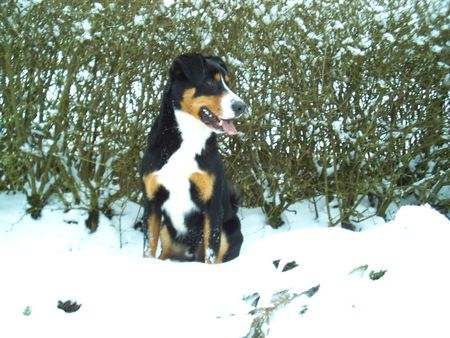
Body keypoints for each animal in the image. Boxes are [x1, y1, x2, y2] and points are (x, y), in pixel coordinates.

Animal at [141, 53, 246, 264]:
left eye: (227, 82)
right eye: (210, 82)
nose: (241, 106)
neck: (187, 139)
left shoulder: (212, 205)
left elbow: (211, 253)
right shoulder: (152, 202)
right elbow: (148, 248)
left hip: (228, 231)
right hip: (166, 230)